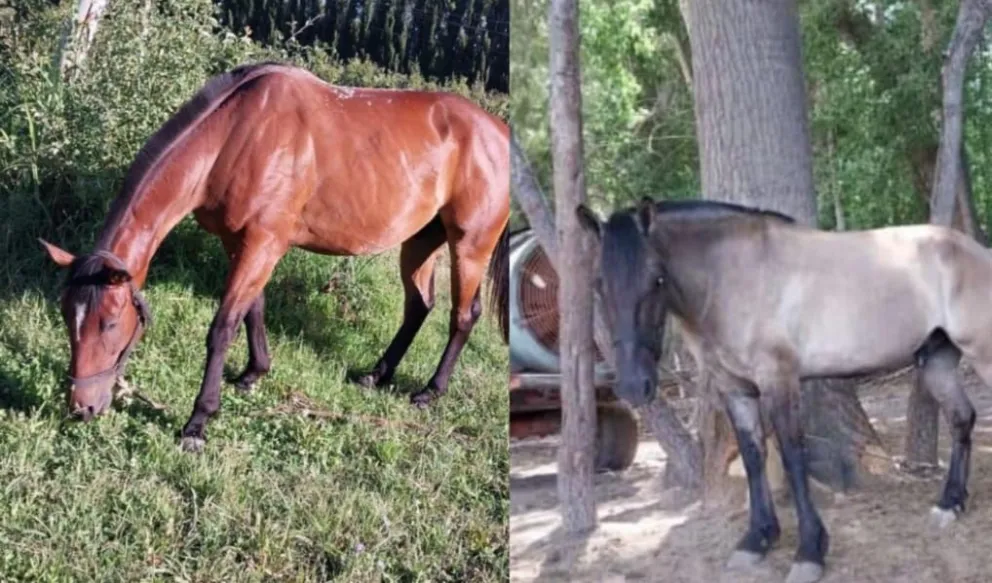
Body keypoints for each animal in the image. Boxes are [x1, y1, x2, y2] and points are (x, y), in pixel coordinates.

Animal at [39, 61, 510, 452]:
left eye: (110, 323)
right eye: (66, 316)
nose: (81, 406)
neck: (236, 135)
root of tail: (499, 133)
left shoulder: (262, 242)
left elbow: (223, 326)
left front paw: (198, 422)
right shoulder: (240, 242)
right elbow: (254, 308)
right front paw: (253, 373)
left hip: (469, 245)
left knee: (462, 316)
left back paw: (430, 391)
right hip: (419, 240)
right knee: (418, 306)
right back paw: (376, 375)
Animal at [576, 197, 991, 583]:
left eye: (656, 279)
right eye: (597, 284)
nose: (634, 385)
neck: (730, 276)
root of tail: (974, 251)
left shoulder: (779, 379)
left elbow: (792, 456)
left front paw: (809, 551)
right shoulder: (736, 389)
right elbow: (753, 455)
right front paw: (757, 540)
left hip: (982, 357)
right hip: (937, 361)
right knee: (962, 419)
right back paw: (950, 504)